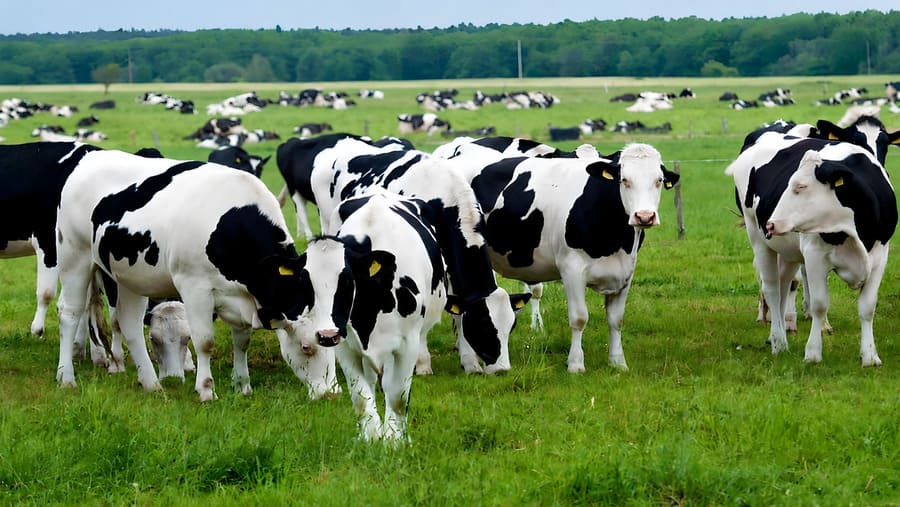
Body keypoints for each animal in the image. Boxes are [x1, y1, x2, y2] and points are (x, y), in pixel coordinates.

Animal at [54, 150, 340, 401]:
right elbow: (205, 342)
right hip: (75, 257)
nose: (331, 394)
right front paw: (206, 390)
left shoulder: (240, 295)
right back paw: (66, 377)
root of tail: (91, 157)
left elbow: (242, 341)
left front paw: (243, 386)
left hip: (129, 277)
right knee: (70, 313)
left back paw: (151, 383)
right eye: (306, 347)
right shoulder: (195, 288)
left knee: (130, 324)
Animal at [298, 192, 448, 441]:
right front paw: (370, 436)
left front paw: (395, 440)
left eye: (348, 280)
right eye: (305, 282)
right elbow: (360, 396)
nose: (326, 335)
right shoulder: (345, 345)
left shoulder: (407, 343)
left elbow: (397, 395)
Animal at [454, 143, 678, 372]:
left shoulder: (626, 271)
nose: (644, 216)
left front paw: (618, 362)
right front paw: (576, 364)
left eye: (658, 180)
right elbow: (579, 318)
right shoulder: (572, 268)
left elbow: (616, 320)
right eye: (624, 180)